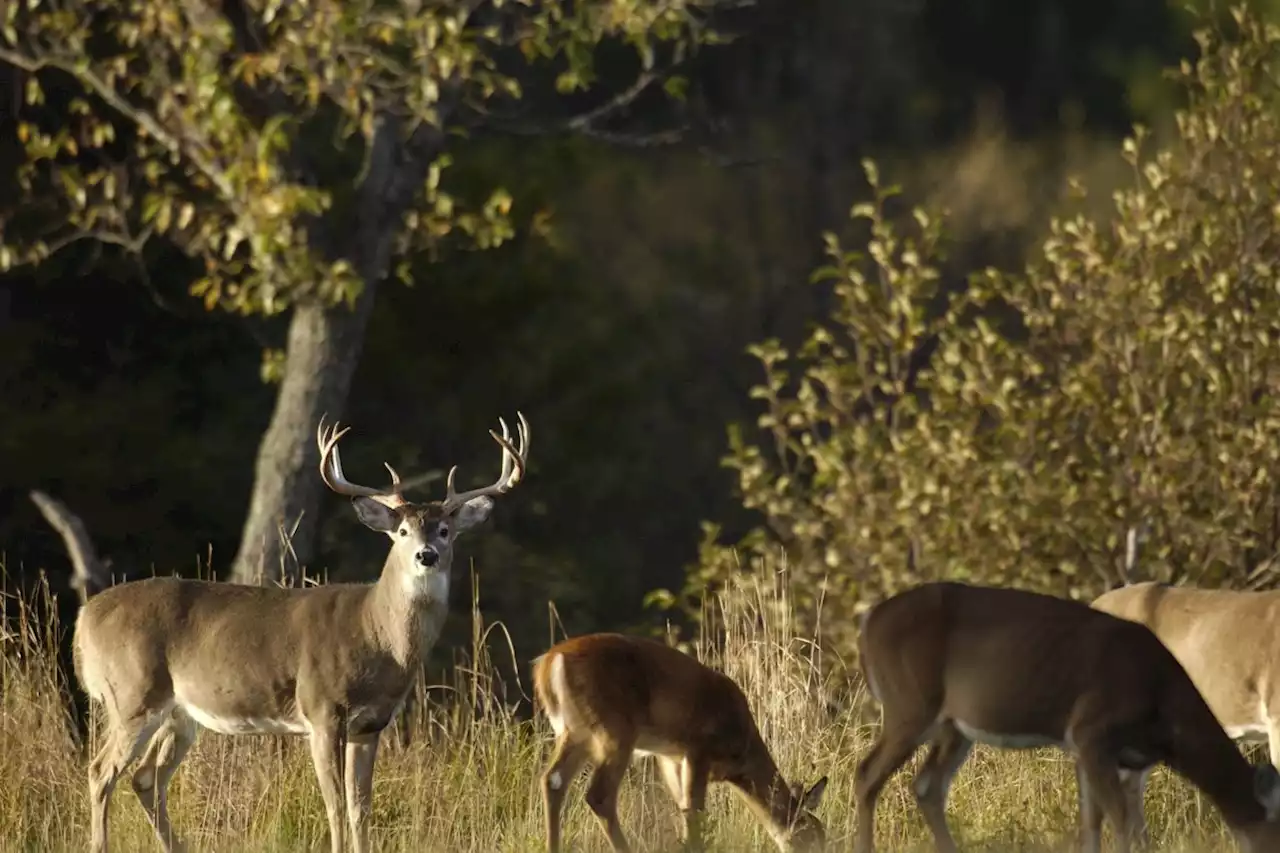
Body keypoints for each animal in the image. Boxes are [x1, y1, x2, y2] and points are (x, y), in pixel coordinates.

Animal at [68, 412, 529, 850]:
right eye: (401, 531)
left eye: (445, 530)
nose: (426, 555)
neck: (378, 634)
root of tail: (84, 617)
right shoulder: (322, 709)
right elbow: (335, 805)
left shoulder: (371, 724)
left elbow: (361, 807)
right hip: (131, 694)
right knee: (100, 771)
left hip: (179, 713)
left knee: (145, 778)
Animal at [532, 630, 824, 850]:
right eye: (812, 836)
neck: (741, 753)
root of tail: (551, 662)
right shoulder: (698, 748)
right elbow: (694, 814)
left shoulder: (671, 758)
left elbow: (685, 811)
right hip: (614, 729)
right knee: (599, 795)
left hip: (575, 732)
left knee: (552, 781)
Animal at [855, 578, 1280, 850]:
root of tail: (869, 623)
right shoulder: (1092, 732)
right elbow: (1120, 824)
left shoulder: (1097, 751)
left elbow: (1092, 824)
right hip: (909, 704)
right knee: (867, 776)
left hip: (953, 727)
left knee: (928, 787)